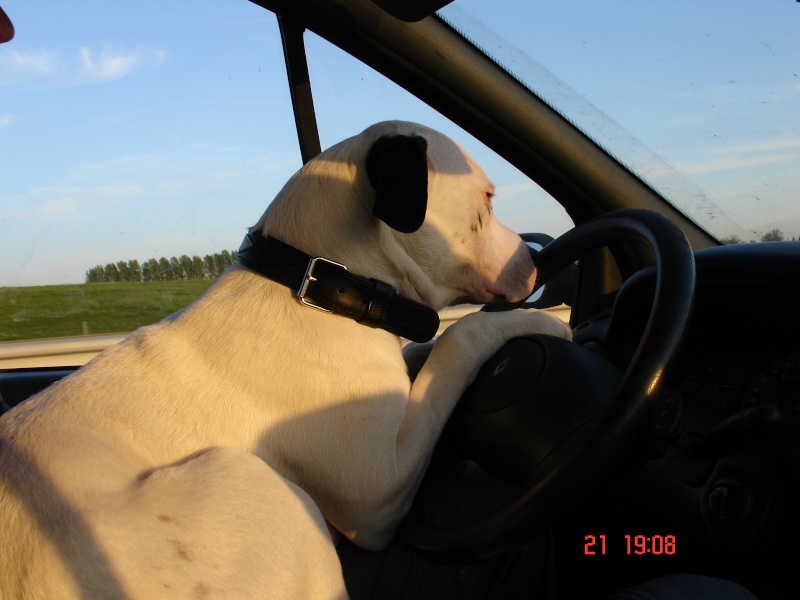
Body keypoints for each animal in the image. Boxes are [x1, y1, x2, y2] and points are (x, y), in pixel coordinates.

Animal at [1, 119, 576, 596]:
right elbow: (461, 339)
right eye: (488, 199)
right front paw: (549, 320)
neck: (319, 281)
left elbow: (426, 351)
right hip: (262, 490)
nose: (537, 257)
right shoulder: (382, 488)